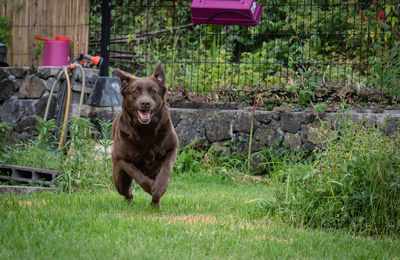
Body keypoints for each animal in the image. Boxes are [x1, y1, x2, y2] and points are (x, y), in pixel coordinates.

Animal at [110, 62, 177, 206]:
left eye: (153, 91)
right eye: (135, 92)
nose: (145, 103)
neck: (147, 131)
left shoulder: (172, 149)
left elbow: (166, 170)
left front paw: (159, 188)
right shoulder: (123, 159)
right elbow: (138, 176)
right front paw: (151, 188)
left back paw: (155, 204)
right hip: (119, 176)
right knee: (124, 190)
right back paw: (130, 199)